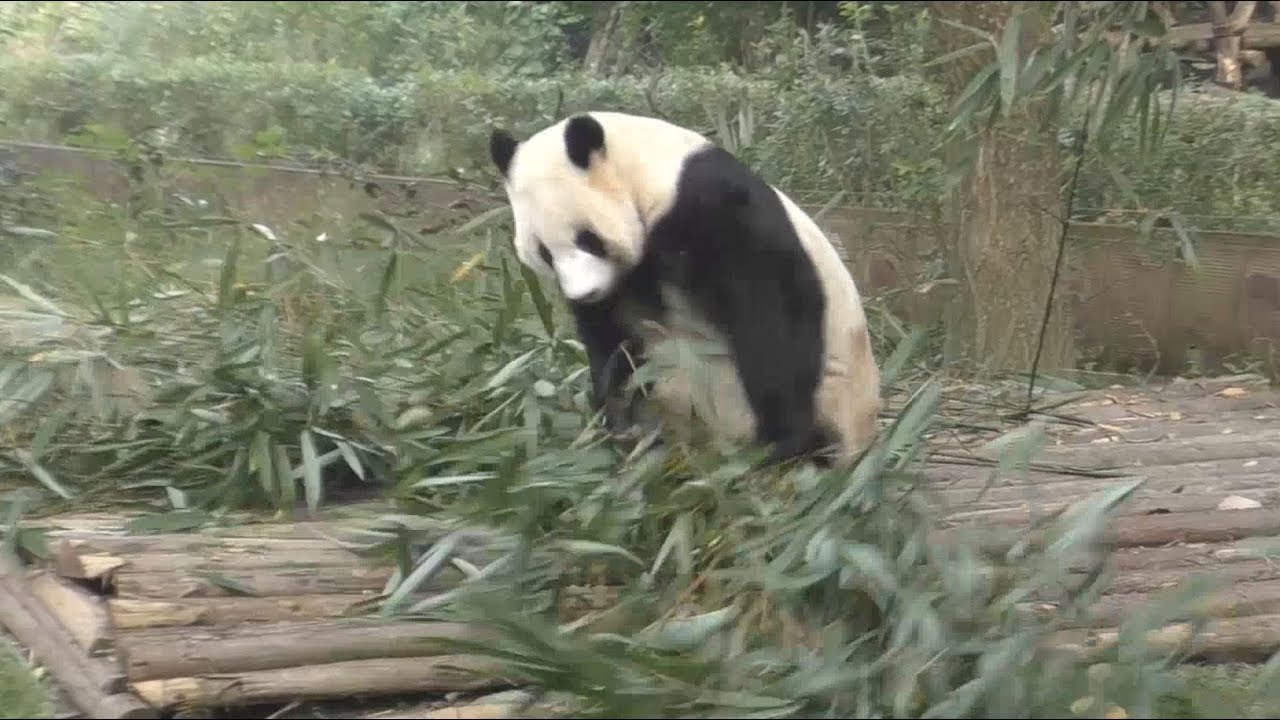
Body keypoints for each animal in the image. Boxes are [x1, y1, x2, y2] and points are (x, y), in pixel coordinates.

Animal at [487, 111, 881, 468]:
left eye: (588, 239)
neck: (647, 172)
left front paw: (781, 439)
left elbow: (772, 309)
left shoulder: (712, 205)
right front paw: (616, 420)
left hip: (835, 400)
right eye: (544, 252)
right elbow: (612, 345)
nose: (584, 294)